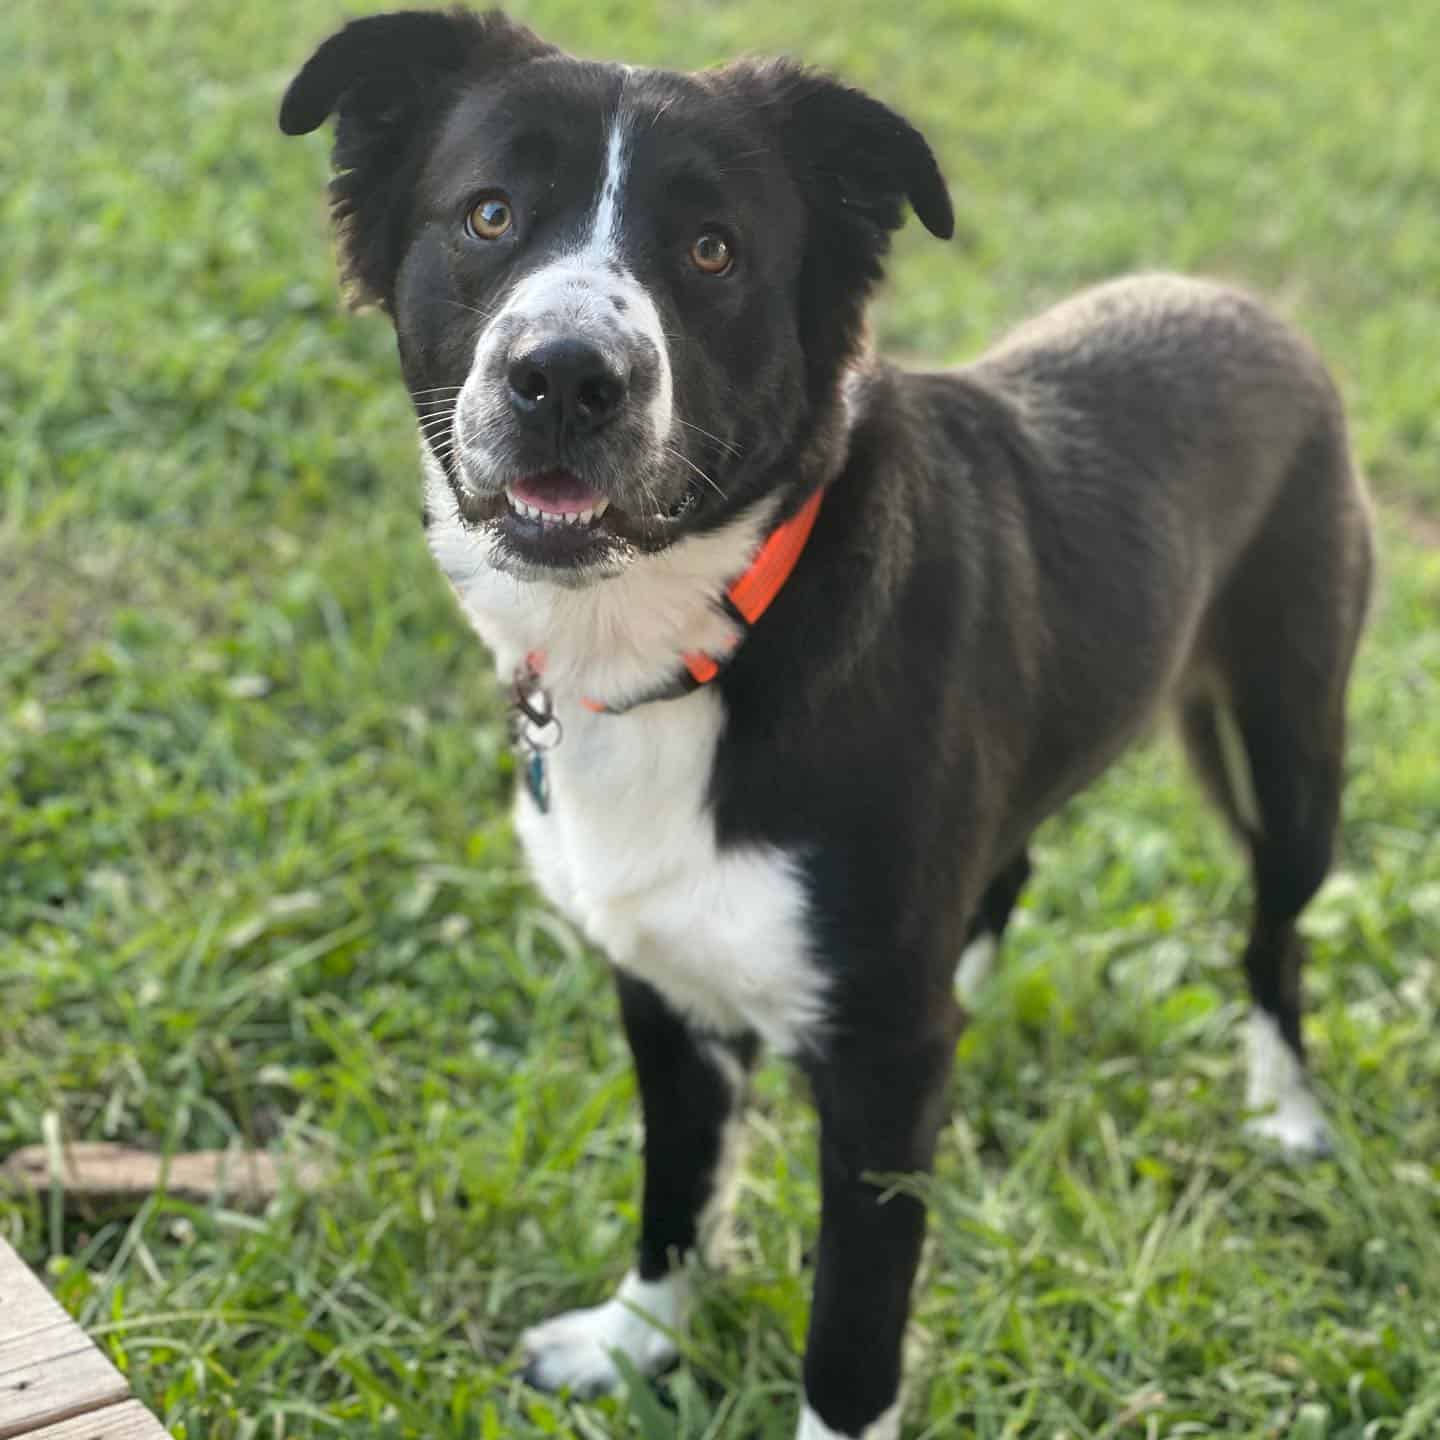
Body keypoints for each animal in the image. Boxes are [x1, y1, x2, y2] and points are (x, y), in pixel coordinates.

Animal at [277, 14, 1370, 1440]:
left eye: (712, 249)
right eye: (489, 214)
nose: (565, 377)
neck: (702, 639)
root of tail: (1250, 305)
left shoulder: (881, 1082)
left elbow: (850, 1336)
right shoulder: (663, 992)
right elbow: (678, 1184)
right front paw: (637, 1339)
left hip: (1296, 746)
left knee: (1272, 938)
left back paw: (1287, 1111)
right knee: (1007, 869)